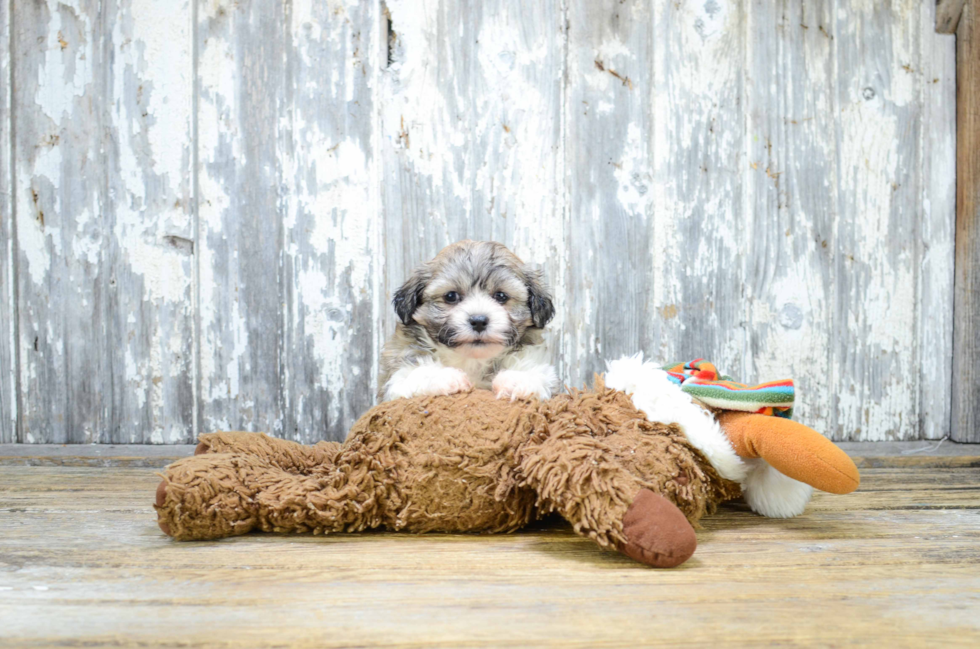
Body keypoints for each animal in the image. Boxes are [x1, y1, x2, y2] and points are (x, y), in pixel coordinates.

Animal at [378, 240, 556, 402]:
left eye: (501, 296)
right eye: (451, 296)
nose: (478, 321)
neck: (472, 360)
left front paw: (518, 379)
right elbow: (416, 372)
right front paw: (443, 377)